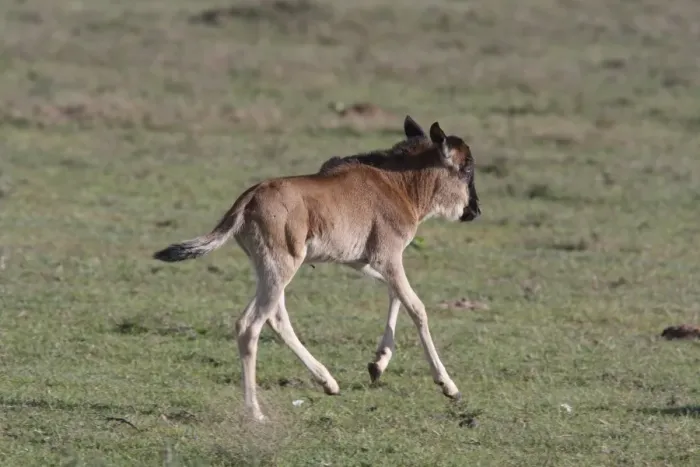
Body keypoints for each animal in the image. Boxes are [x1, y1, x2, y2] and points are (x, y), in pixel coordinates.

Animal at [152, 116, 481, 421]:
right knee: (249, 325)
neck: (396, 184)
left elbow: (394, 295)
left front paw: (377, 364)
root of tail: (249, 198)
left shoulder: (363, 262)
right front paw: (448, 385)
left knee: (276, 318)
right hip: (281, 268)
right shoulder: (389, 258)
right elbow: (417, 307)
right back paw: (255, 412)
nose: (475, 211)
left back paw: (327, 382)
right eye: (466, 168)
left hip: (270, 270)